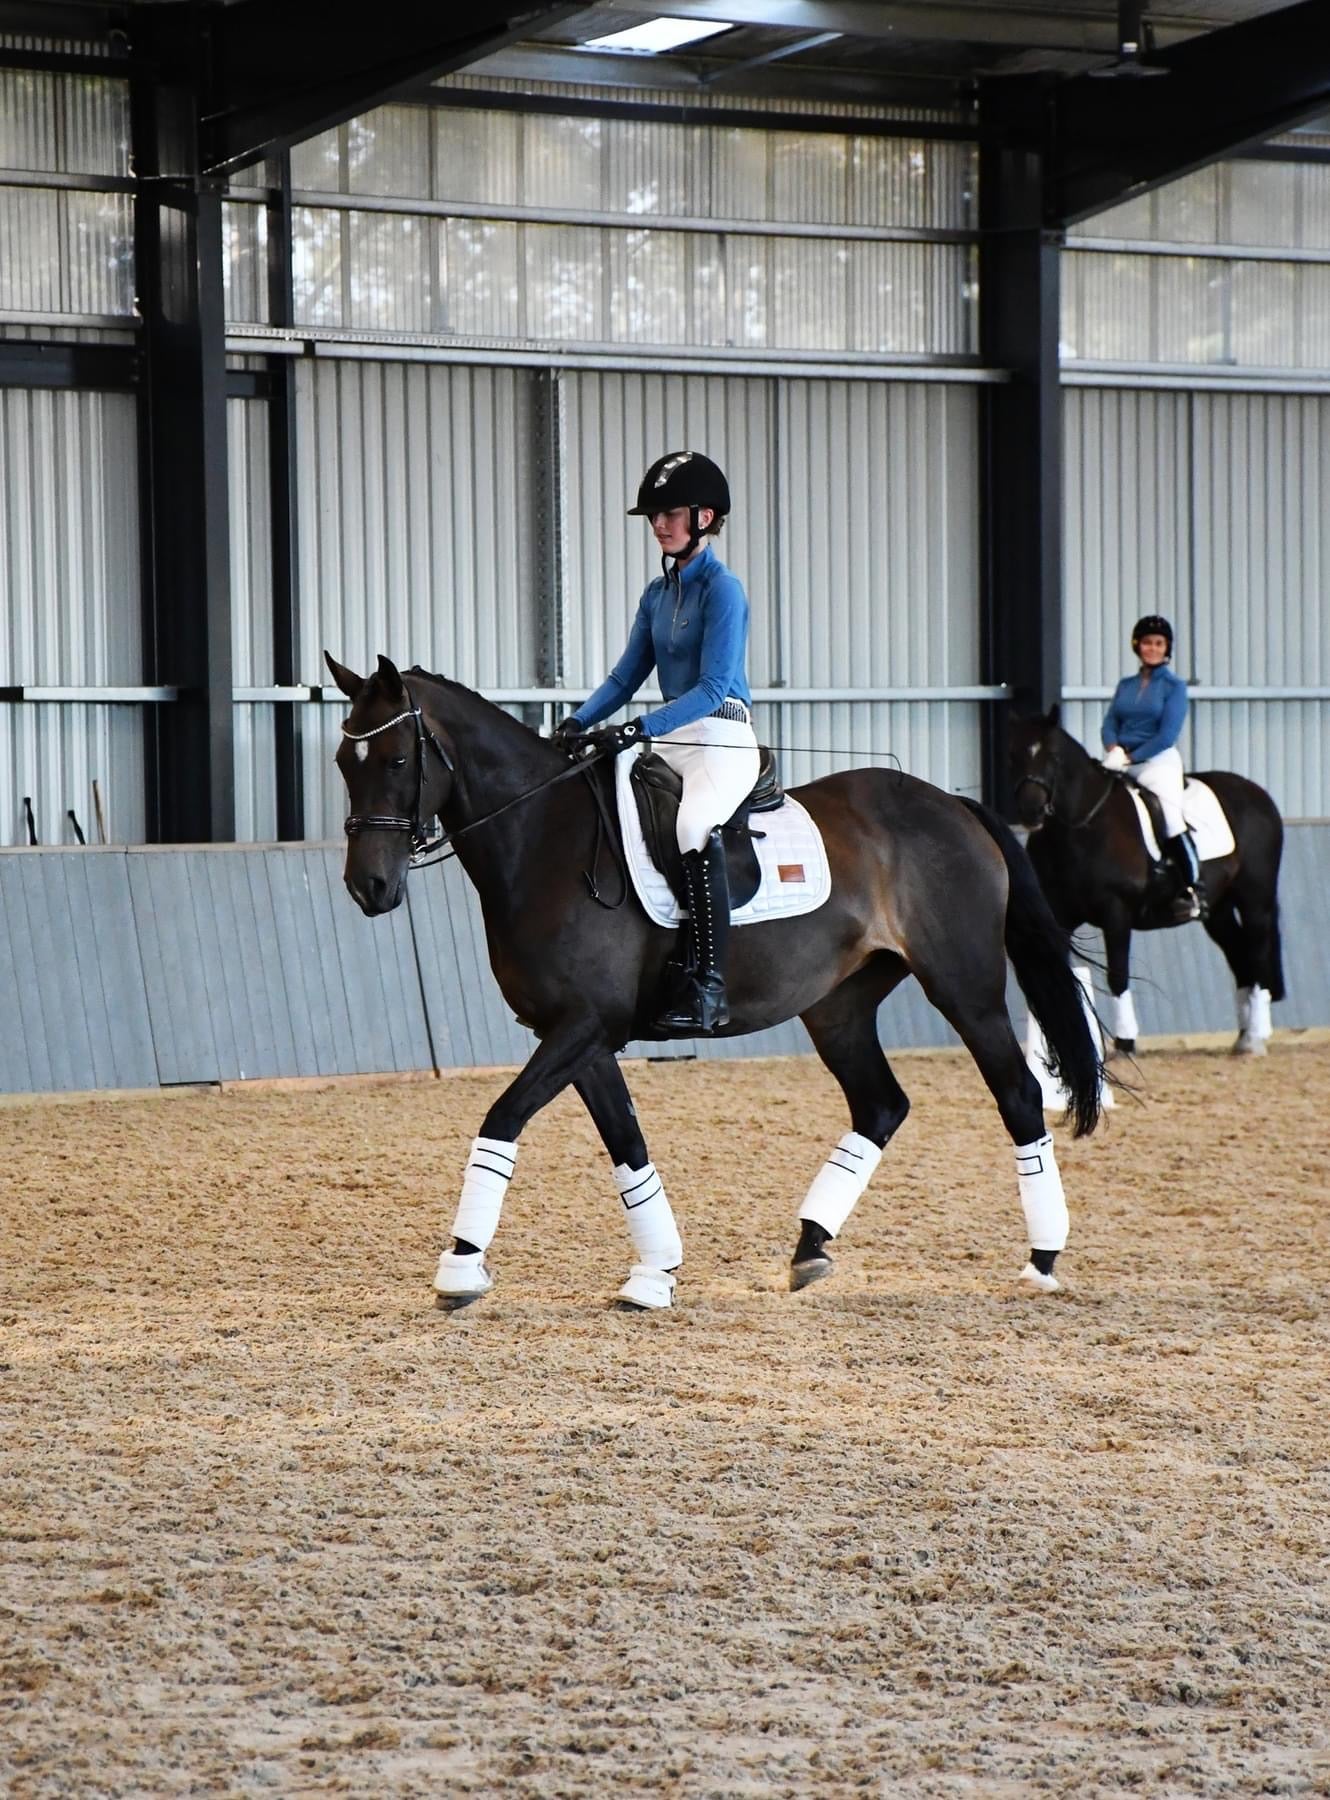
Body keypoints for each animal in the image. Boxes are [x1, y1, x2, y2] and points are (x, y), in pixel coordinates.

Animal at [331, 655, 1101, 1303]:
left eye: (397, 758)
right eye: (344, 759)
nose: (369, 887)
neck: (544, 839)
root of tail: (951, 803)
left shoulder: (584, 1026)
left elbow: (502, 1119)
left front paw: (461, 1267)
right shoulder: (578, 1035)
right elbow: (627, 1143)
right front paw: (655, 1272)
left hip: (965, 988)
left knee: (1018, 1094)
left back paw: (1042, 1259)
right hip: (838, 1006)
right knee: (881, 1105)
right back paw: (810, 1248)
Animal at [1015, 705, 1281, 1051]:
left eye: (1054, 757)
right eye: (1014, 753)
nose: (1029, 811)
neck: (1082, 826)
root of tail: (1259, 795)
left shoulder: (1116, 912)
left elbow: (1118, 974)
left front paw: (1125, 1042)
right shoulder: (1058, 914)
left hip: (1255, 899)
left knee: (1258, 952)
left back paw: (1256, 1037)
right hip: (1218, 909)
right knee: (1240, 956)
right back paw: (1244, 1036)